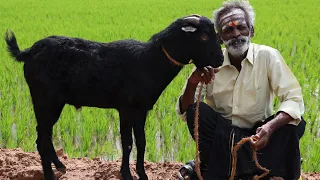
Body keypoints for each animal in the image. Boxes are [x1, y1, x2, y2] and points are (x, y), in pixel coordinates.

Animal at [4, 14, 222, 180]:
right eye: (203, 37)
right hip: (45, 99)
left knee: (44, 134)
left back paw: (59, 165)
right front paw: (126, 174)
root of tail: (30, 51)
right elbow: (127, 142)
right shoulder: (125, 108)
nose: (220, 60)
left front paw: (142, 174)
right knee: (42, 138)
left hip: (54, 102)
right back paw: (49, 174)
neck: (149, 61)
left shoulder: (141, 109)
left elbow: (141, 141)